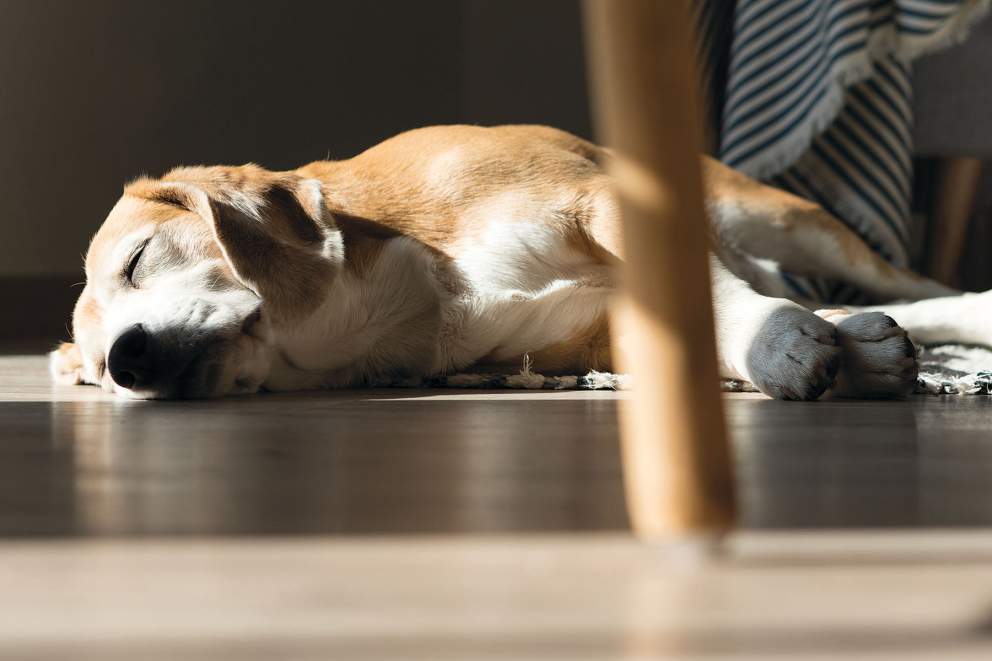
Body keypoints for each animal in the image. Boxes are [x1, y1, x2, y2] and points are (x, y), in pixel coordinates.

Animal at [52, 126, 984, 400]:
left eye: (138, 259)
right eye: (96, 371)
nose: (129, 359)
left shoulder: (602, 201)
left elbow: (727, 303)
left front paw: (777, 347)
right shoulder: (601, 328)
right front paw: (813, 350)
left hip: (784, 220)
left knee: (917, 287)